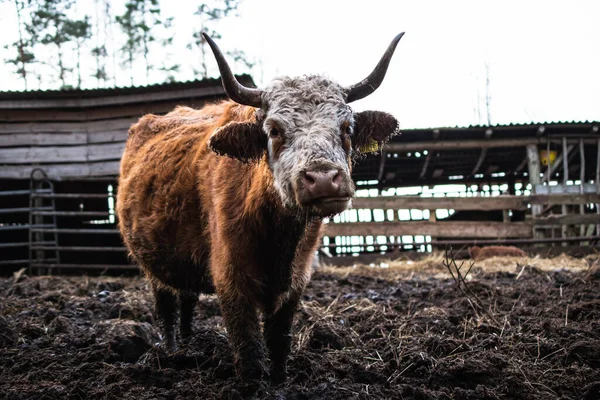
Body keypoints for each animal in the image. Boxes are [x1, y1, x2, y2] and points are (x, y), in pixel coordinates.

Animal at [115, 33, 406, 390]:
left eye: (347, 127)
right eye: (275, 130)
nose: (323, 178)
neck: (278, 237)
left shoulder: (296, 280)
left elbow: (279, 338)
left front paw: (280, 380)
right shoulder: (230, 278)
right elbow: (249, 347)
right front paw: (255, 384)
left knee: (187, 300)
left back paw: (186, 344)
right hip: (152, 264)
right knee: (167, 306)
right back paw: (171, 353)